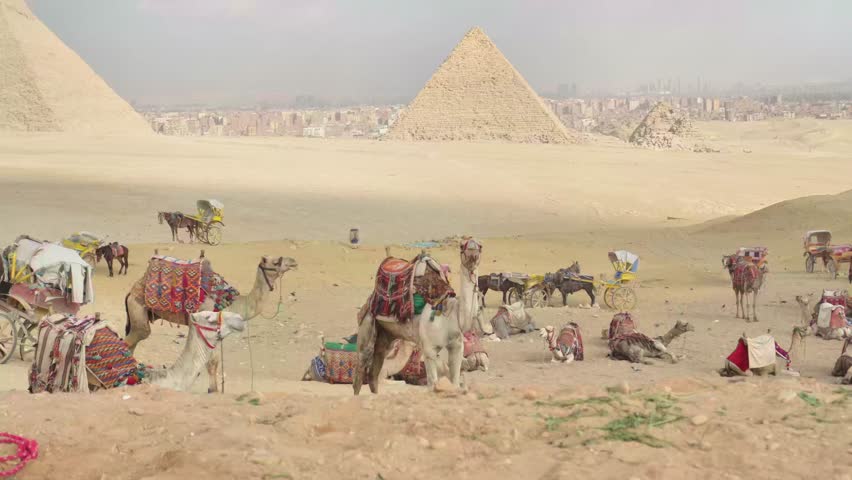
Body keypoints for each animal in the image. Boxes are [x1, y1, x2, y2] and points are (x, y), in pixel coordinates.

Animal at [125, 255, 297, 392]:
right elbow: (211, 362)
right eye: (276, 261)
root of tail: (131, 292)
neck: (231, 303)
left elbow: (214, 362)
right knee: (135, 338)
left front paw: (214, 389)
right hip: (138, 309)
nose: (294, 262)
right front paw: (213, 390)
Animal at [353, 238, 484, 394]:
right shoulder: (429, 349)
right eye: (461, 246)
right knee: (361, 369)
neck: (452, 314)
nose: (472, 251)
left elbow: (454, 382)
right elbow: (433, 385)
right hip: (367, 325)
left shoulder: (456, 347)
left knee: (374, 372)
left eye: (480, 246)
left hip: (387, 336)